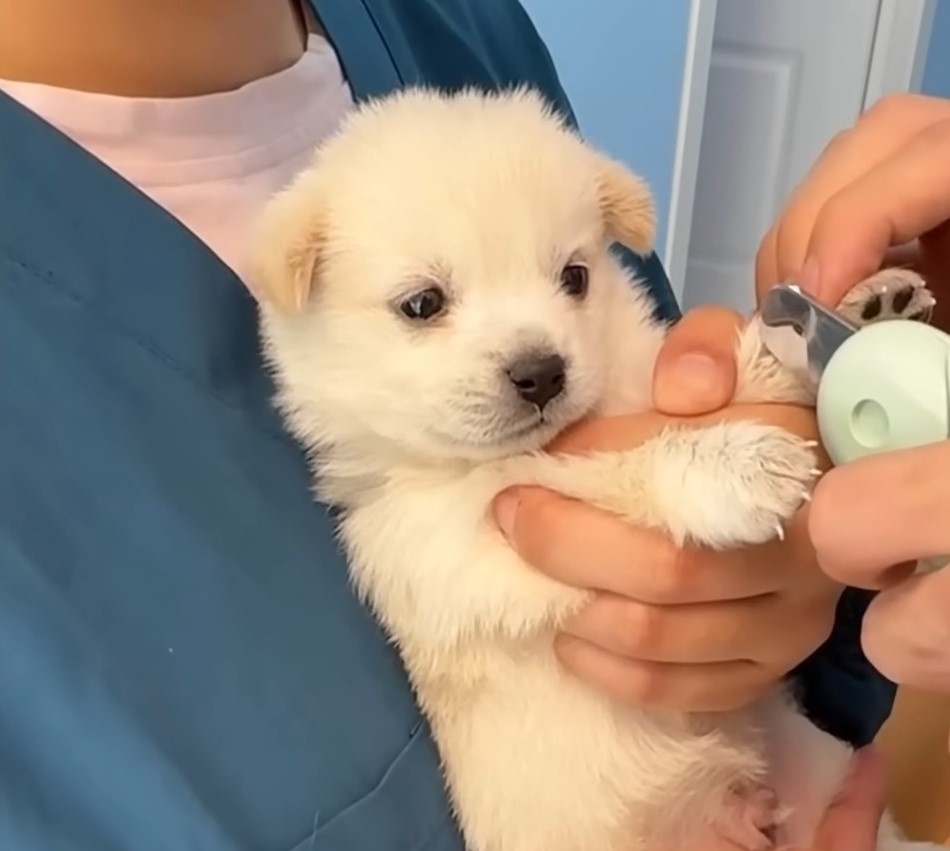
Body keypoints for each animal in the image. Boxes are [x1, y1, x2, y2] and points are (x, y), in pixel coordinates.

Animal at [251, 88, 936, 851]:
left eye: (574, 277)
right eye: (423, 304)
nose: (541, 372)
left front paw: (835, 322)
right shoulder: (461, 535)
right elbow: (607, 470)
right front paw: (733, 464)